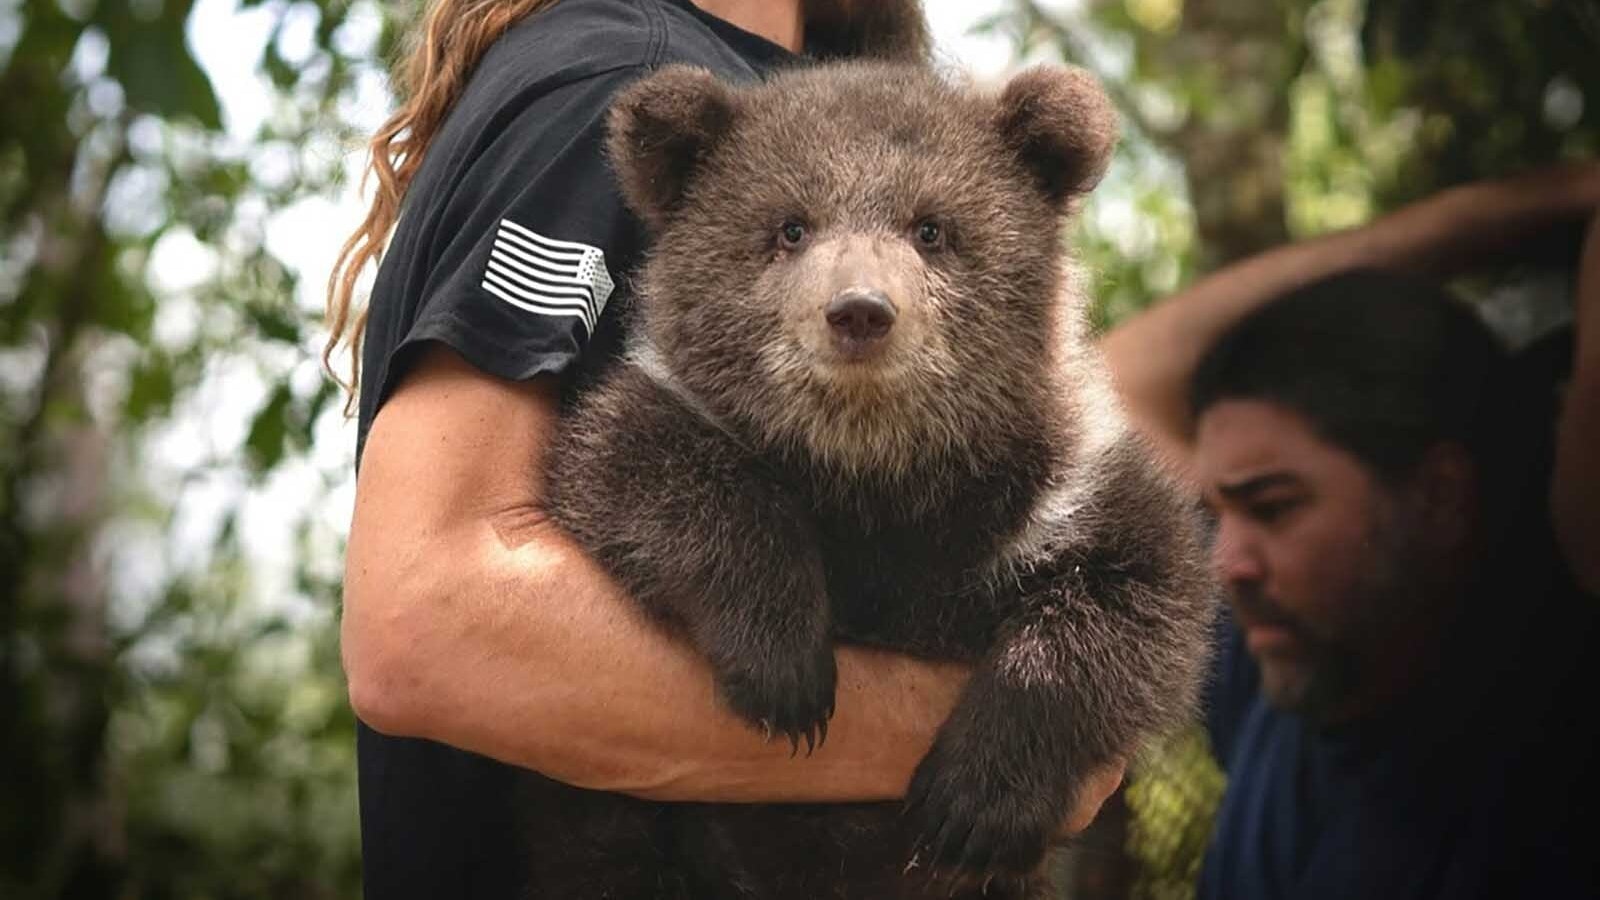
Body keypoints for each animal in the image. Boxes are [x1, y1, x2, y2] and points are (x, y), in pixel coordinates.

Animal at [518, 60, 1216, 899]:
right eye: (790, 226)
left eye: (932, 227)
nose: (859, 312)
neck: (878, 480)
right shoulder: (664, 422)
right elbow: (640, 471)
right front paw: (785, 671)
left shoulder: (1060, 493)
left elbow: (1138, 594)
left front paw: (974, 801)